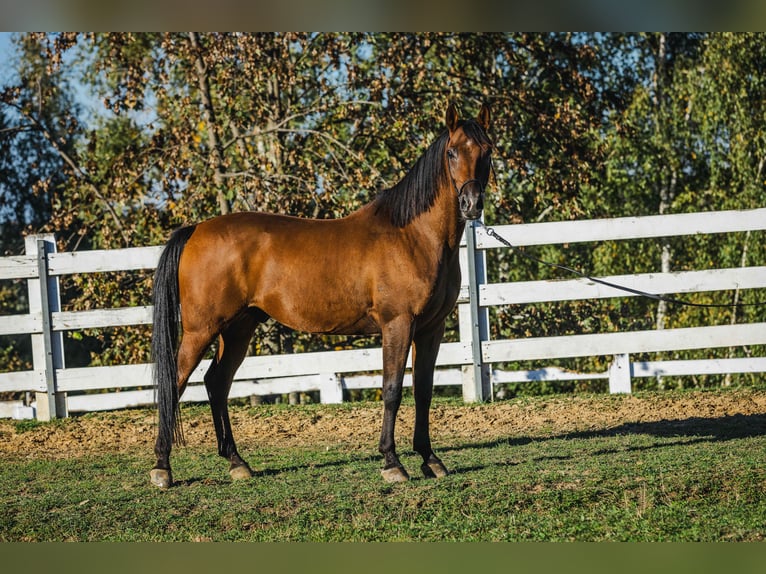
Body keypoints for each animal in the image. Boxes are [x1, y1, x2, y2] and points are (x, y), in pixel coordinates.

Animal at [152, 103, 492, 490]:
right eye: (452, 152)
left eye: (487, 150)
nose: (471, 203)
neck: (413, 236)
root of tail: (196, 230)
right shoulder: (398, 324)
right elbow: (392, 389)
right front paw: (392, 462)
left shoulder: (431, 329)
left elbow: (423, 390)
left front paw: (430, 459)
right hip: (201, 330)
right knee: (175, 382)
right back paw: (162, 467)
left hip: (237, 328)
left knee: (217, 382)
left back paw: (237, 462)